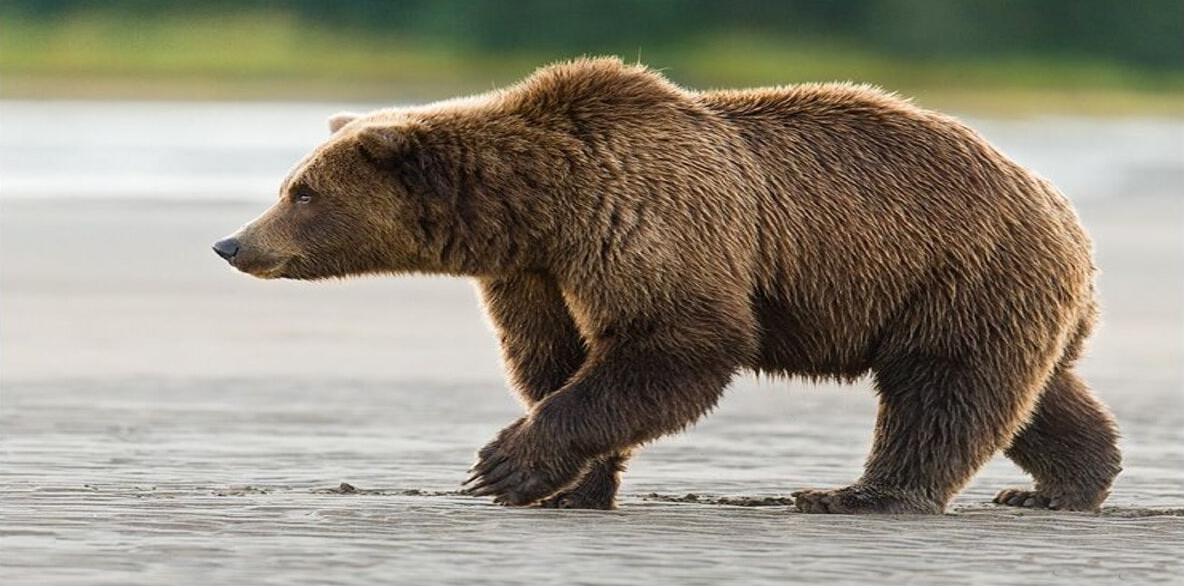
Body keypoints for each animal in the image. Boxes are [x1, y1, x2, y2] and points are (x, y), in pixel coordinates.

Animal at [210, 56, 1117, 513]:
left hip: (955, 267)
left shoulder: (649, 221)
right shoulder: (538, 272)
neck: (542, 206)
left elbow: (672, 345)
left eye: (301, 192)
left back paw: (863, 493)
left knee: (941, 389)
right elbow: (555, 359)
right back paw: (1066, 485)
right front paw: (568, 485)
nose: (231, 242)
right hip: (992, 292)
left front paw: (503, 466)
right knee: (1035, 394)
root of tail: (1063, 209)